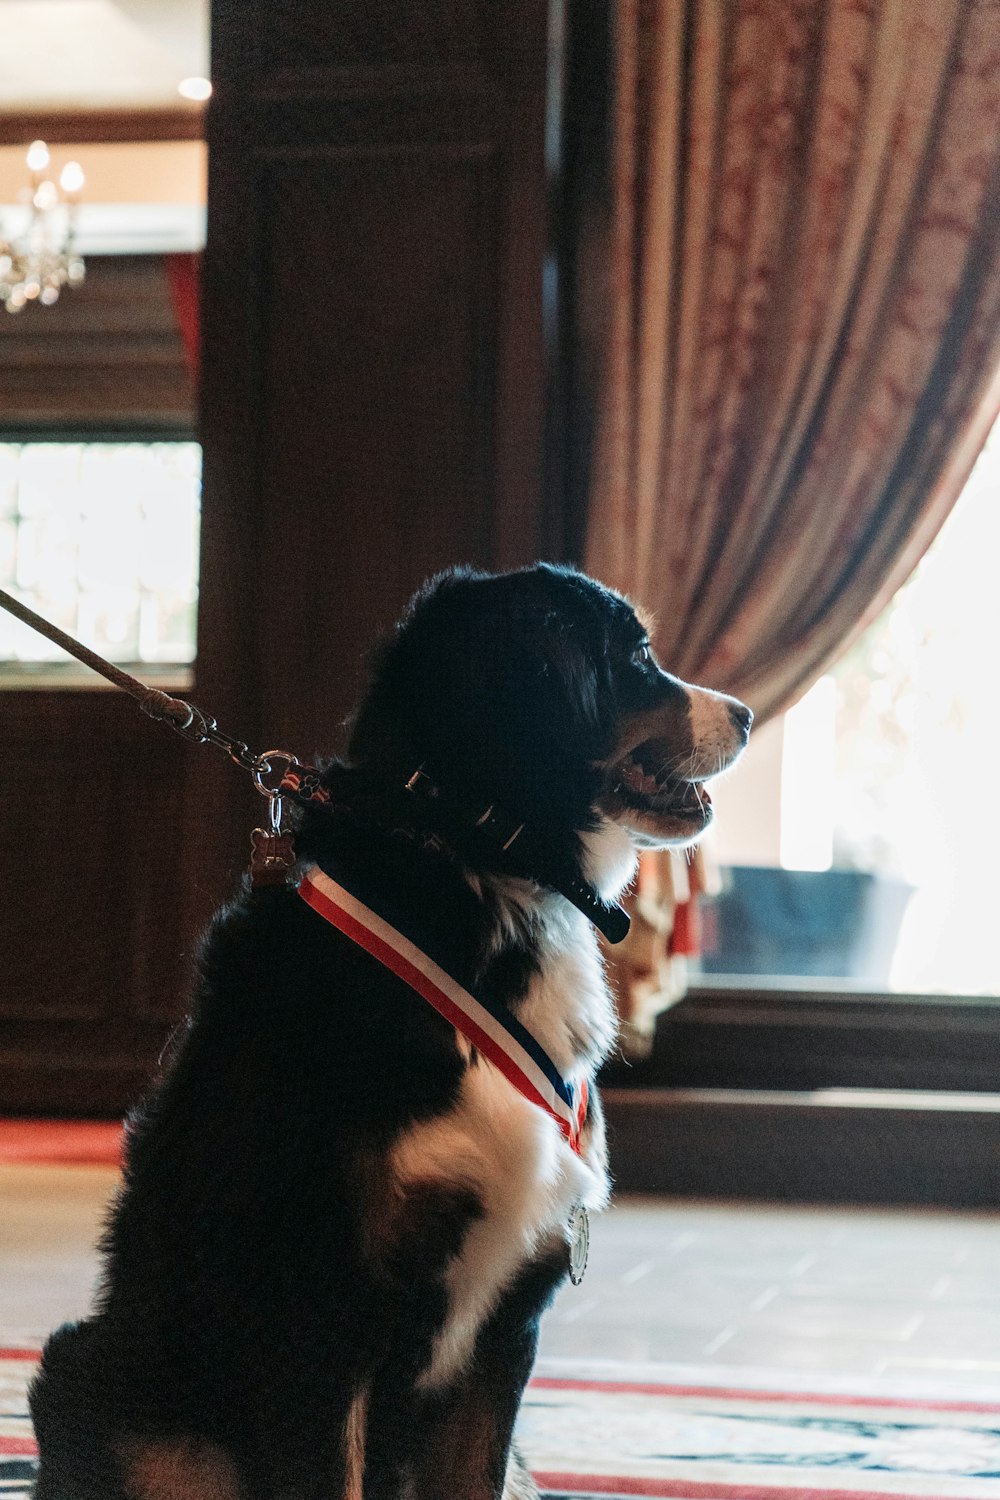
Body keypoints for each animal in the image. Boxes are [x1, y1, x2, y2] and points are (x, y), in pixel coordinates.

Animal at [29, 564, 749, 1500]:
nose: (744, 714)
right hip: (115, 1394)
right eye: (635, 657)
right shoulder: (320, 1312)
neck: (479, 859)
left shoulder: (504, 1328)